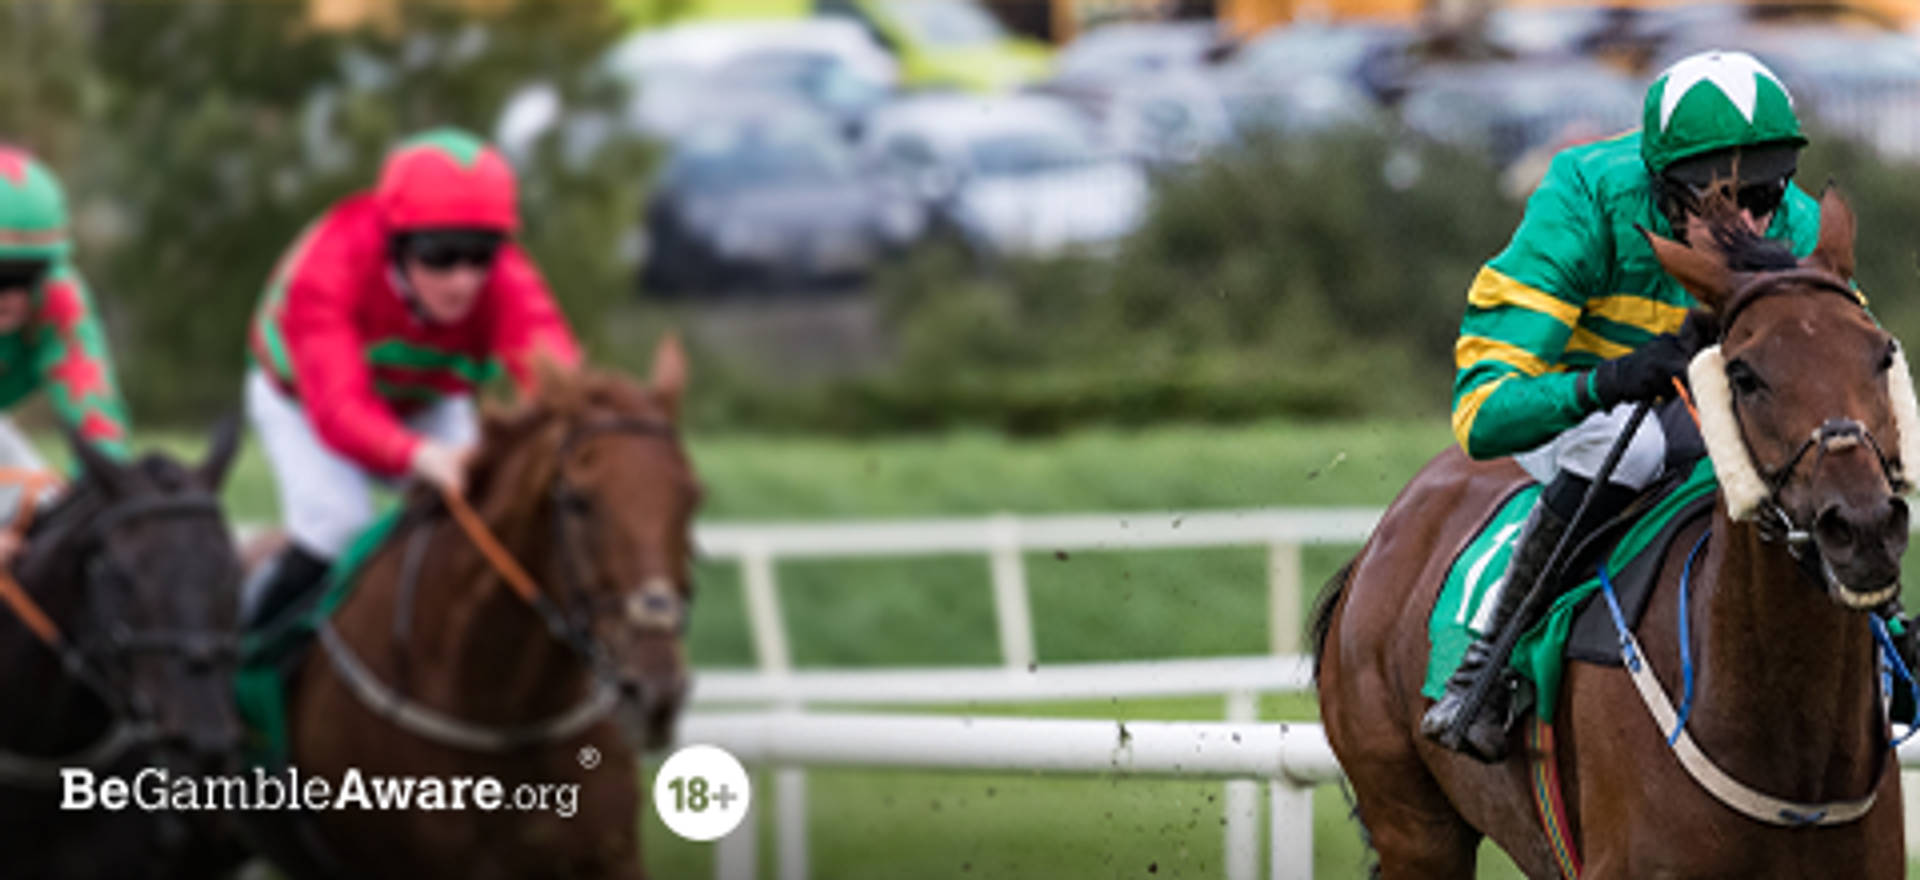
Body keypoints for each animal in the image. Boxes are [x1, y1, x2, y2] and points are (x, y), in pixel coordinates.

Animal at [1312, 188, 1908, 878]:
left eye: (1882, 354)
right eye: (1744, 375)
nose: (1863, 527)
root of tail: (1376, 545)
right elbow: (1488, 388)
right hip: (1413, 826)